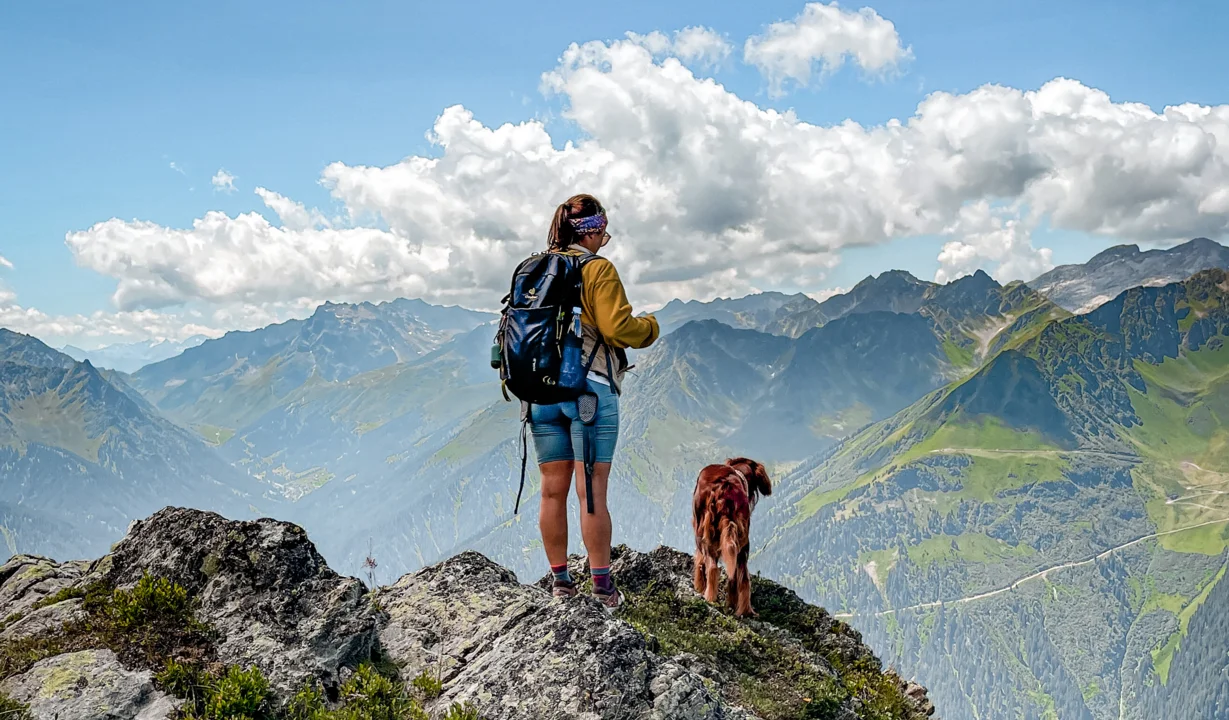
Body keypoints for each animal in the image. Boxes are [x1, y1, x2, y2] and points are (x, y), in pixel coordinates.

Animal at [693, 457, 766, 614]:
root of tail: (725, 486)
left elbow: (700, 562)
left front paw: (699, 586)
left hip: (705, 533)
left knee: (713, 567)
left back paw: (710, 598)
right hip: (741, 540)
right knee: (739, 576)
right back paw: (739, 608)